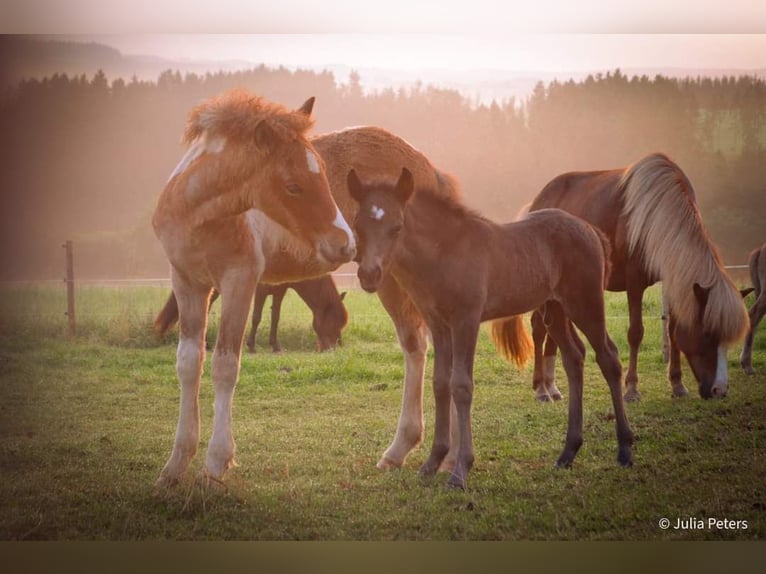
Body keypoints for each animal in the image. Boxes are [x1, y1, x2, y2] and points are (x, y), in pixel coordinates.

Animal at [156, 90, 360, 486]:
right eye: (293, 185)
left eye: (322, 172)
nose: (346, 244)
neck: (199, 214)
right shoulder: (188, 282)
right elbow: (188, 362)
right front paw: (175, 465)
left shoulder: (241, 280)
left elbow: (225, 364)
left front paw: (216, 464)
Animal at [350, 169, 636, 492]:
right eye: (357, 225)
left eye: (396, 227)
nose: (369, 275)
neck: (446, 253)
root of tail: (590, 230)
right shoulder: (439, 324)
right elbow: (440, 384)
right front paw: (432, 463)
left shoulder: (467, 320)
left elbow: (461, 386)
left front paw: (460, 470)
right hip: (555, 310)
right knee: (574, 359)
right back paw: (567, 453)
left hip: (585, 303)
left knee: (609, 357)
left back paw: (625, 449)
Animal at [508, 155, 752, 402]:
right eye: (708, 334)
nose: (719, 390)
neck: (657, 216)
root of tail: (536, 203)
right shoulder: (634, 281)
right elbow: (635, 332)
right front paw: (632, 388)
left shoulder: (673, 279)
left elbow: (673, 330)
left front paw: (677, 383)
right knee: (539, 329)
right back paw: (541, 388)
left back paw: (552, 386)